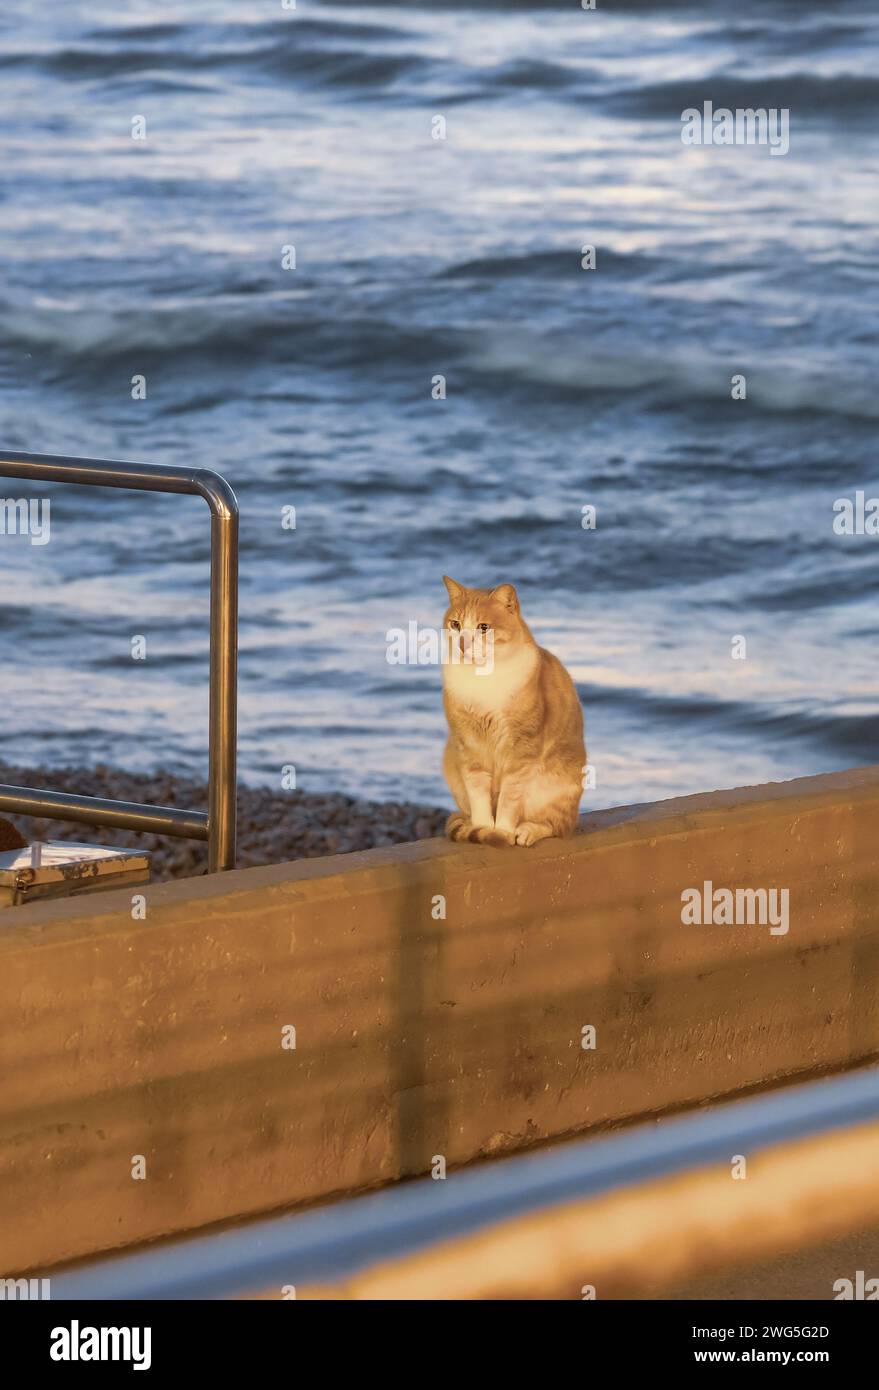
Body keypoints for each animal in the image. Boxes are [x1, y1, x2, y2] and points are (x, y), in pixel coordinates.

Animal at [442, 575, 586, 845]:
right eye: (455, 624)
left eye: (483, 627)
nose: (463, 644)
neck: (481, 679)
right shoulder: (468, 746)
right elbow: (478, 793)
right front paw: (483, 827)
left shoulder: (521, 749)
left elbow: (510, 797)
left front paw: (503, 831)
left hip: (555, 787)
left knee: (558, 825)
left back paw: (526, 831)